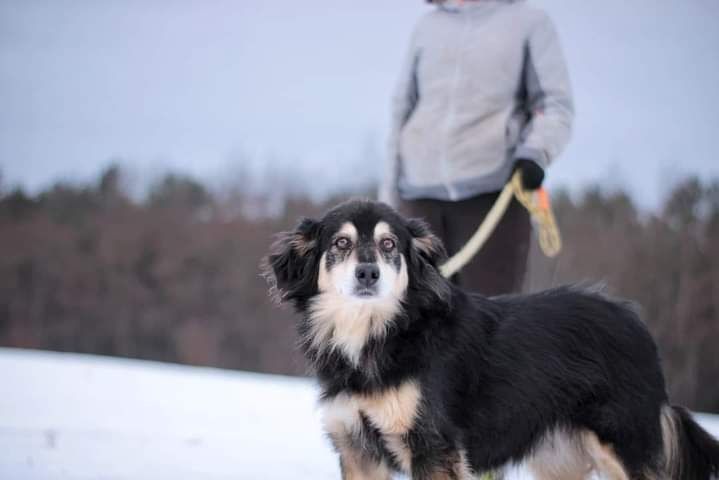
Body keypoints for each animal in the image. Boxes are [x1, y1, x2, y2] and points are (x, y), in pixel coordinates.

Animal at [262, 197, 719, 478]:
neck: (381, 333)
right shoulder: (356, 450)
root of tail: (636, 323)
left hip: (624, 443)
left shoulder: (432, 446)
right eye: (341, 243)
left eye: (389, 244)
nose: (368, 273)